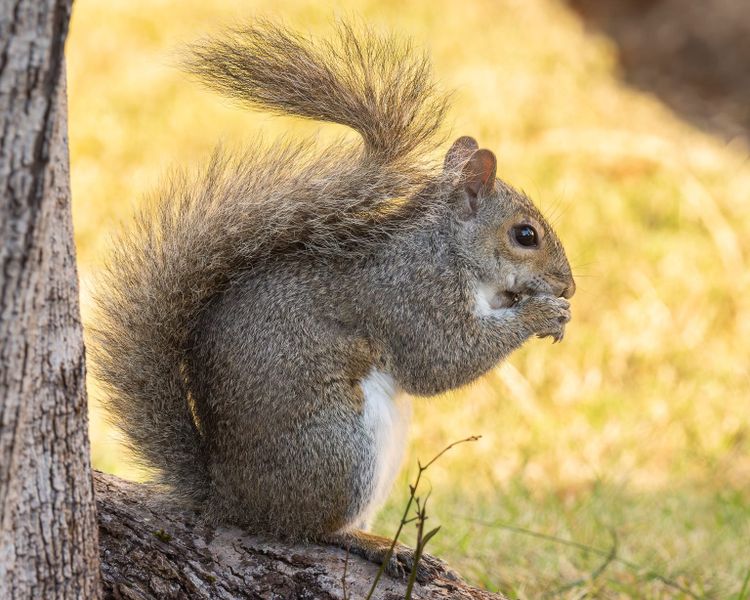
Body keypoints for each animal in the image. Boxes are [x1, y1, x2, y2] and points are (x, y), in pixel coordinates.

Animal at [92, 21, 575, 579]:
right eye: (525, 235)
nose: (569, 286)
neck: (446, 249)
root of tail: (231, 499)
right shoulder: (409, 297)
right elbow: (442, 361)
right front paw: (542, 313)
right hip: (339, 448)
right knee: (315, 530)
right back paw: (373, 542)